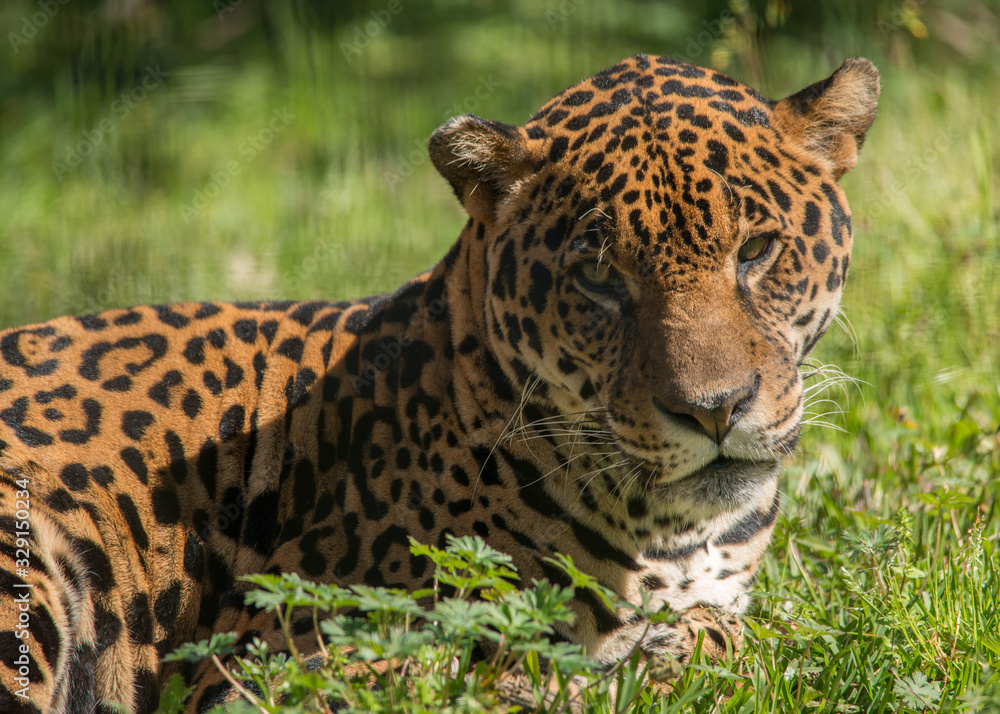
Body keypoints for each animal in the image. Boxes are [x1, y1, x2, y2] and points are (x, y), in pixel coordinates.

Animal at [0, 54, 879, 713]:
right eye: (599, 277)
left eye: (756, 250)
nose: (716, 411)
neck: (671, 534)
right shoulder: (291, 658)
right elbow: (496, 671)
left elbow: (731, 630)